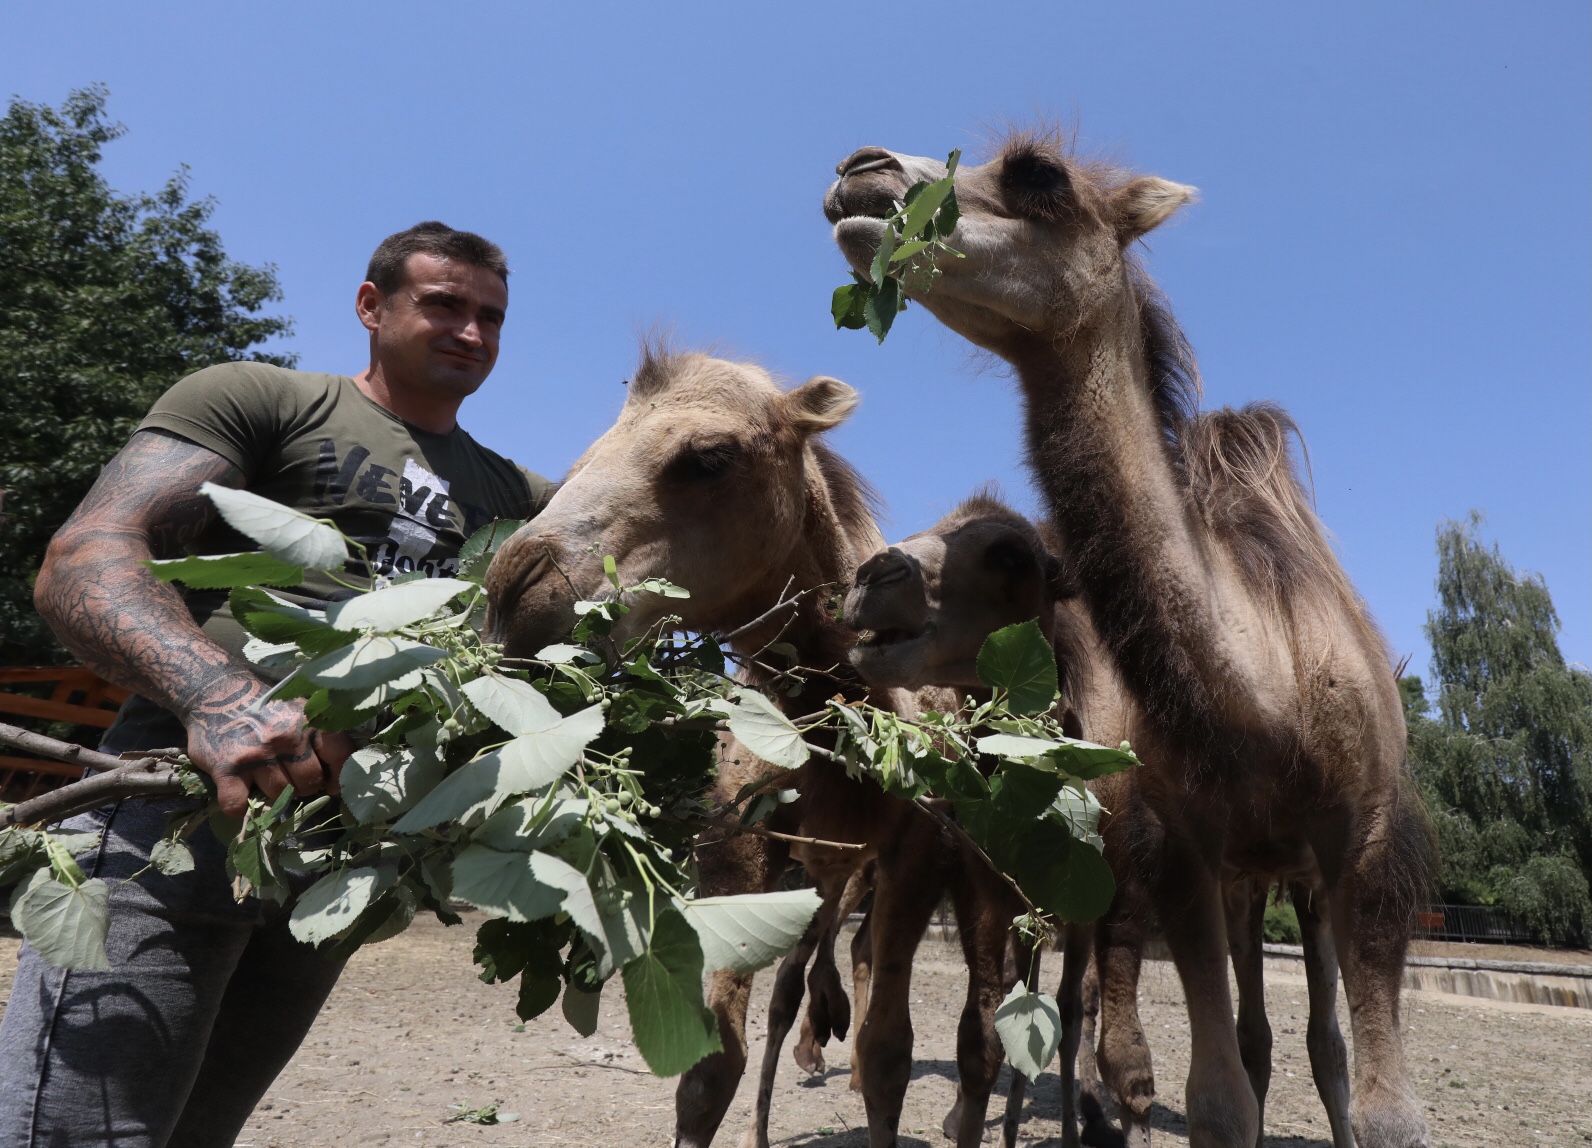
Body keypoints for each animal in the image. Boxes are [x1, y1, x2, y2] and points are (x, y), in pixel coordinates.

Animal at [483, 347, 1025, 1146]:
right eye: (580, 461)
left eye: (709, 457)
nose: (514, 596)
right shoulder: (736, 843)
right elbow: (713, 1065)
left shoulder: (916, 856)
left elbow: (890, 1053)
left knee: (980, 1022)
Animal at [821, 136, 1432, 1146]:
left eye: (1038, 175)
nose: (862, 173)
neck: (1267, 692)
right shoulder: (1178, 854)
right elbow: (1215, 1096)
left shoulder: (1367, 843)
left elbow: (1388, 1111)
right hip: (1241, 878)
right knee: (1257, 1038)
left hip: (1300, 880)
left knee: (1324, 1044)